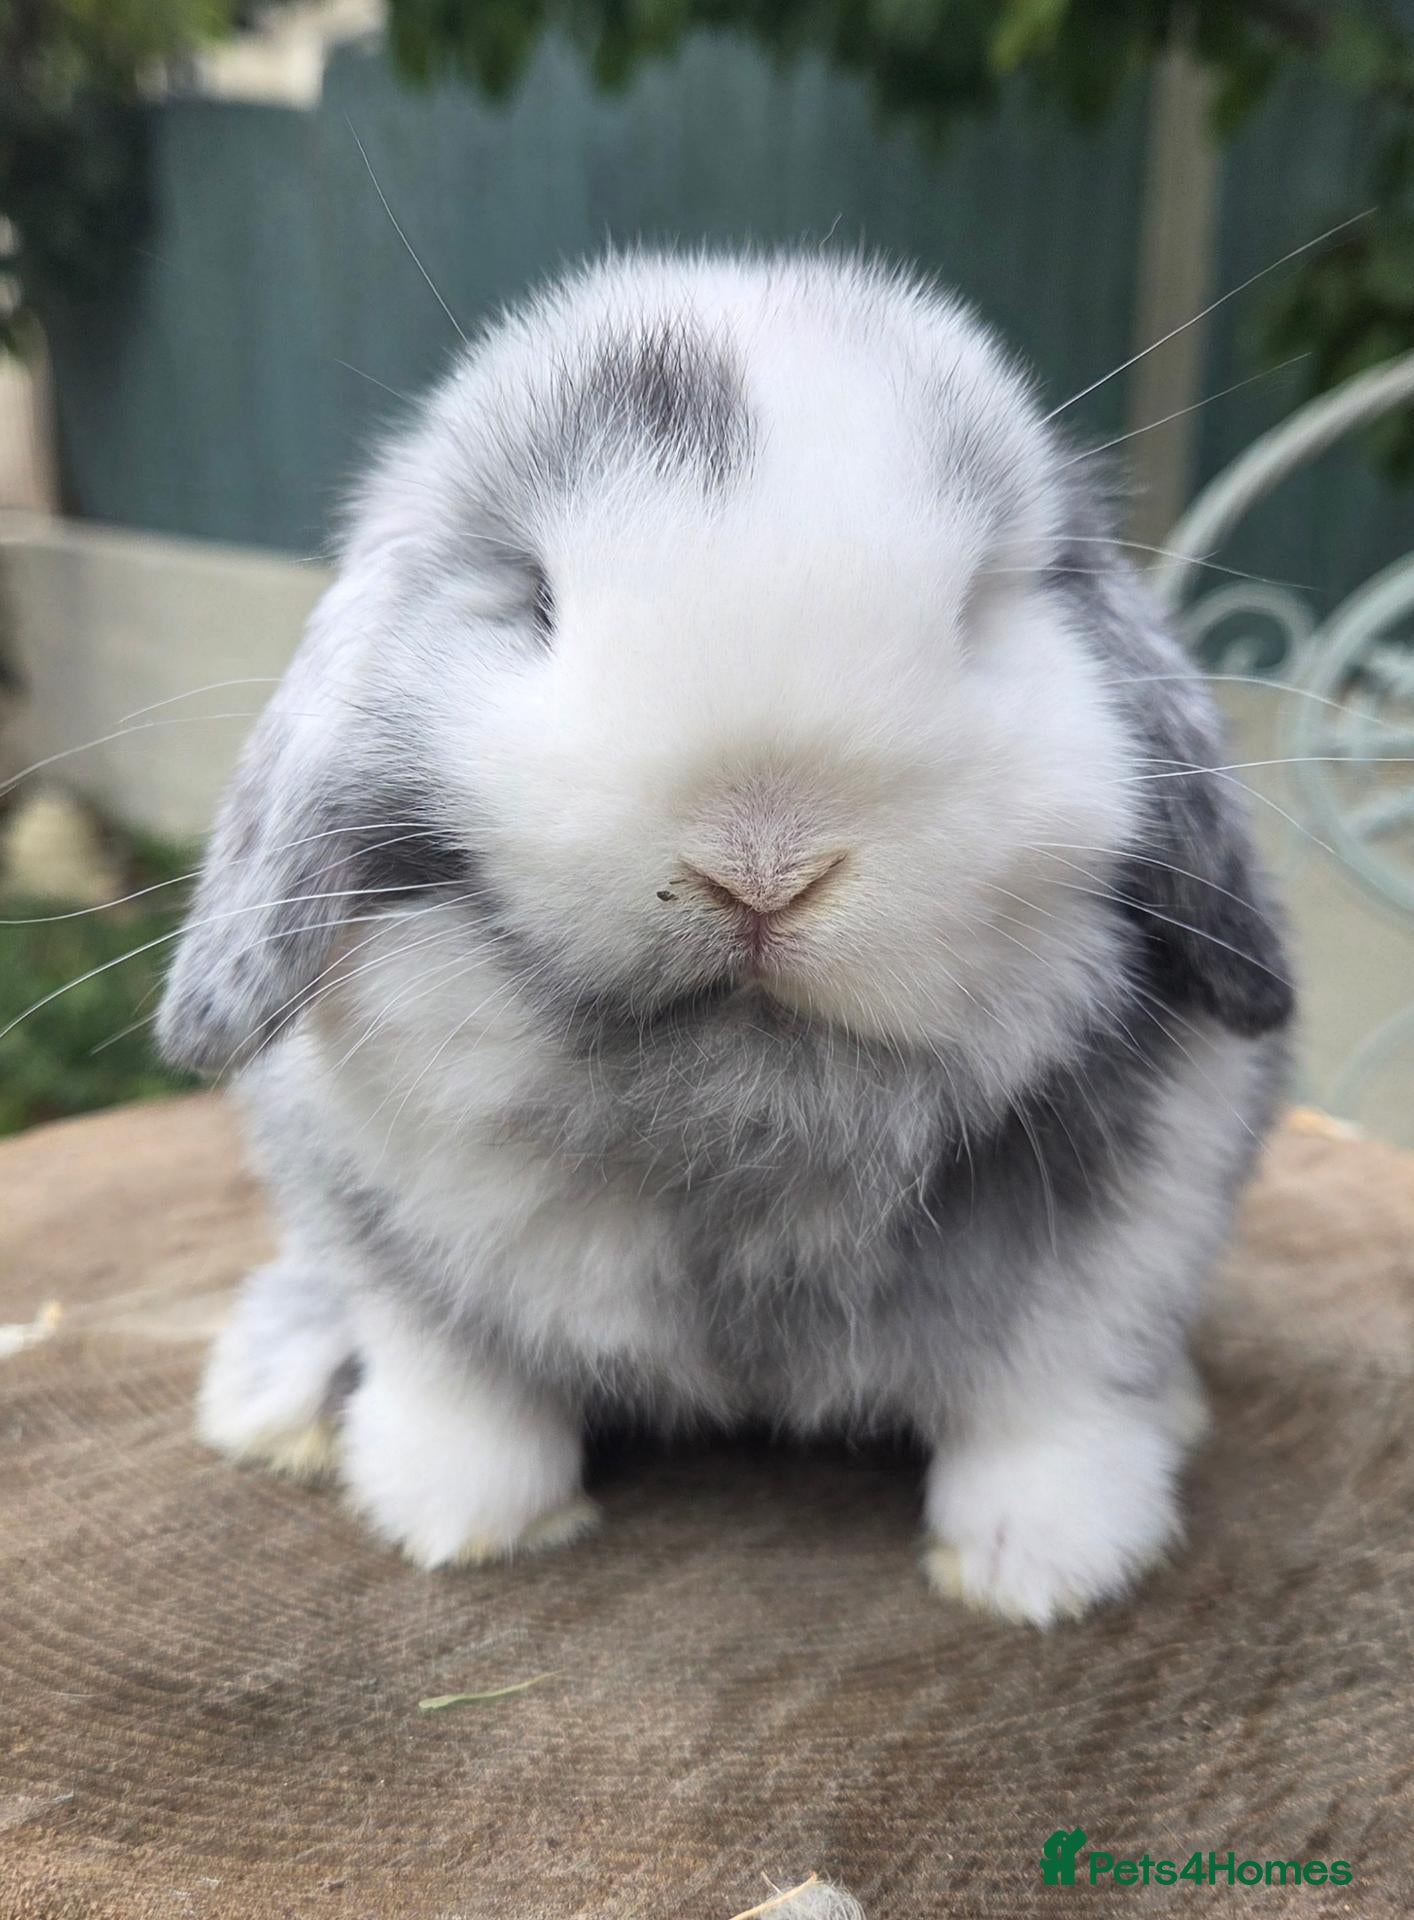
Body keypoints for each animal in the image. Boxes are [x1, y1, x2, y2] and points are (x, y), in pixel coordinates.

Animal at [158, 252, 1292, 1626]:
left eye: (979, 608)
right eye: (534, 598)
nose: (763, 864)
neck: (747, 1128)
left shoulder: (1128, 1241)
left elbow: (1049, 1403)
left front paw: (1041, 1573)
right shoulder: (396, 1248)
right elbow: (463, 1385)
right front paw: (461, 1521)